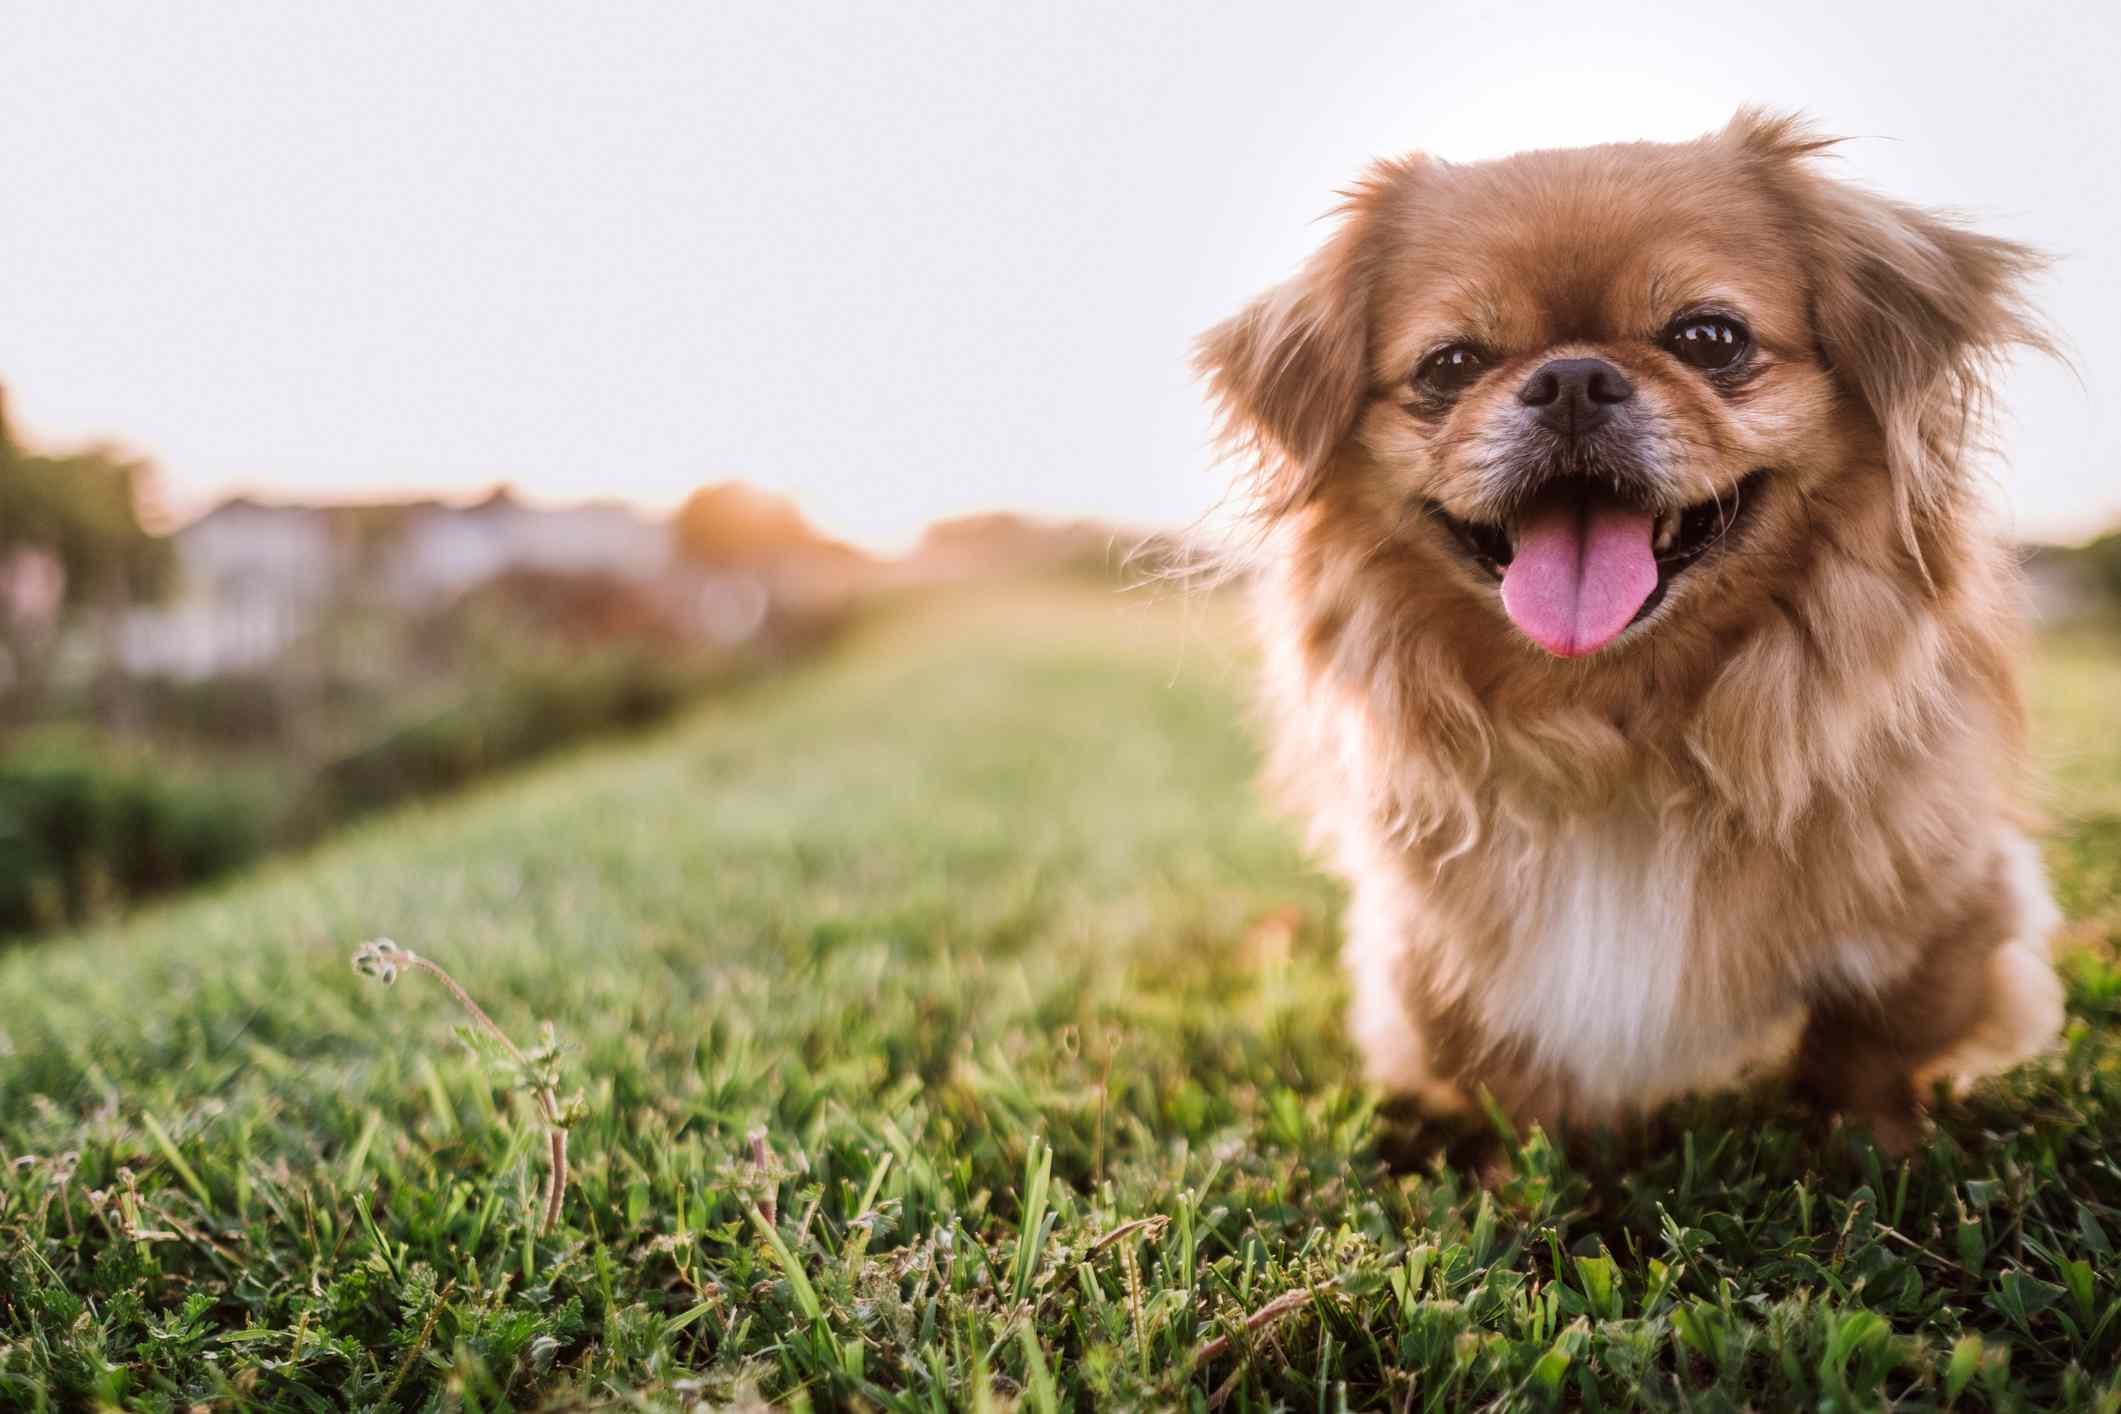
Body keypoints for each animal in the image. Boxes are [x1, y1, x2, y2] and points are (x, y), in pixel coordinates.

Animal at [1204, 108, 2061, 1153]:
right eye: (1450, 365)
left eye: (1708, 338)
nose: (1571, 376)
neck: (1615, 722)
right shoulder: (1441, 954)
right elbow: (1506, 1078)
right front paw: (1516, 1173)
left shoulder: (1939, 904)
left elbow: (1866, 1054)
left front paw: (1878, 1155)